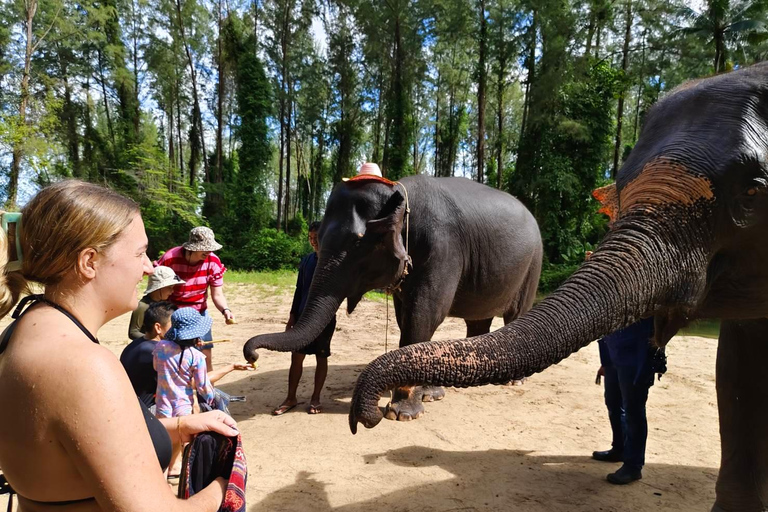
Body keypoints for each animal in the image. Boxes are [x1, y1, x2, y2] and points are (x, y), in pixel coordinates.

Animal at [243, 174, 544, 422]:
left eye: (357, 242)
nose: (252, 355)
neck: (400, 192)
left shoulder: (443, 246)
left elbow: (424, 315)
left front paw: (401, 413)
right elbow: (405, 316)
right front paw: (425, 397)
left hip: (533, 264)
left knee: (515, 314)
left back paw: (514, 381)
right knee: (478, 321)